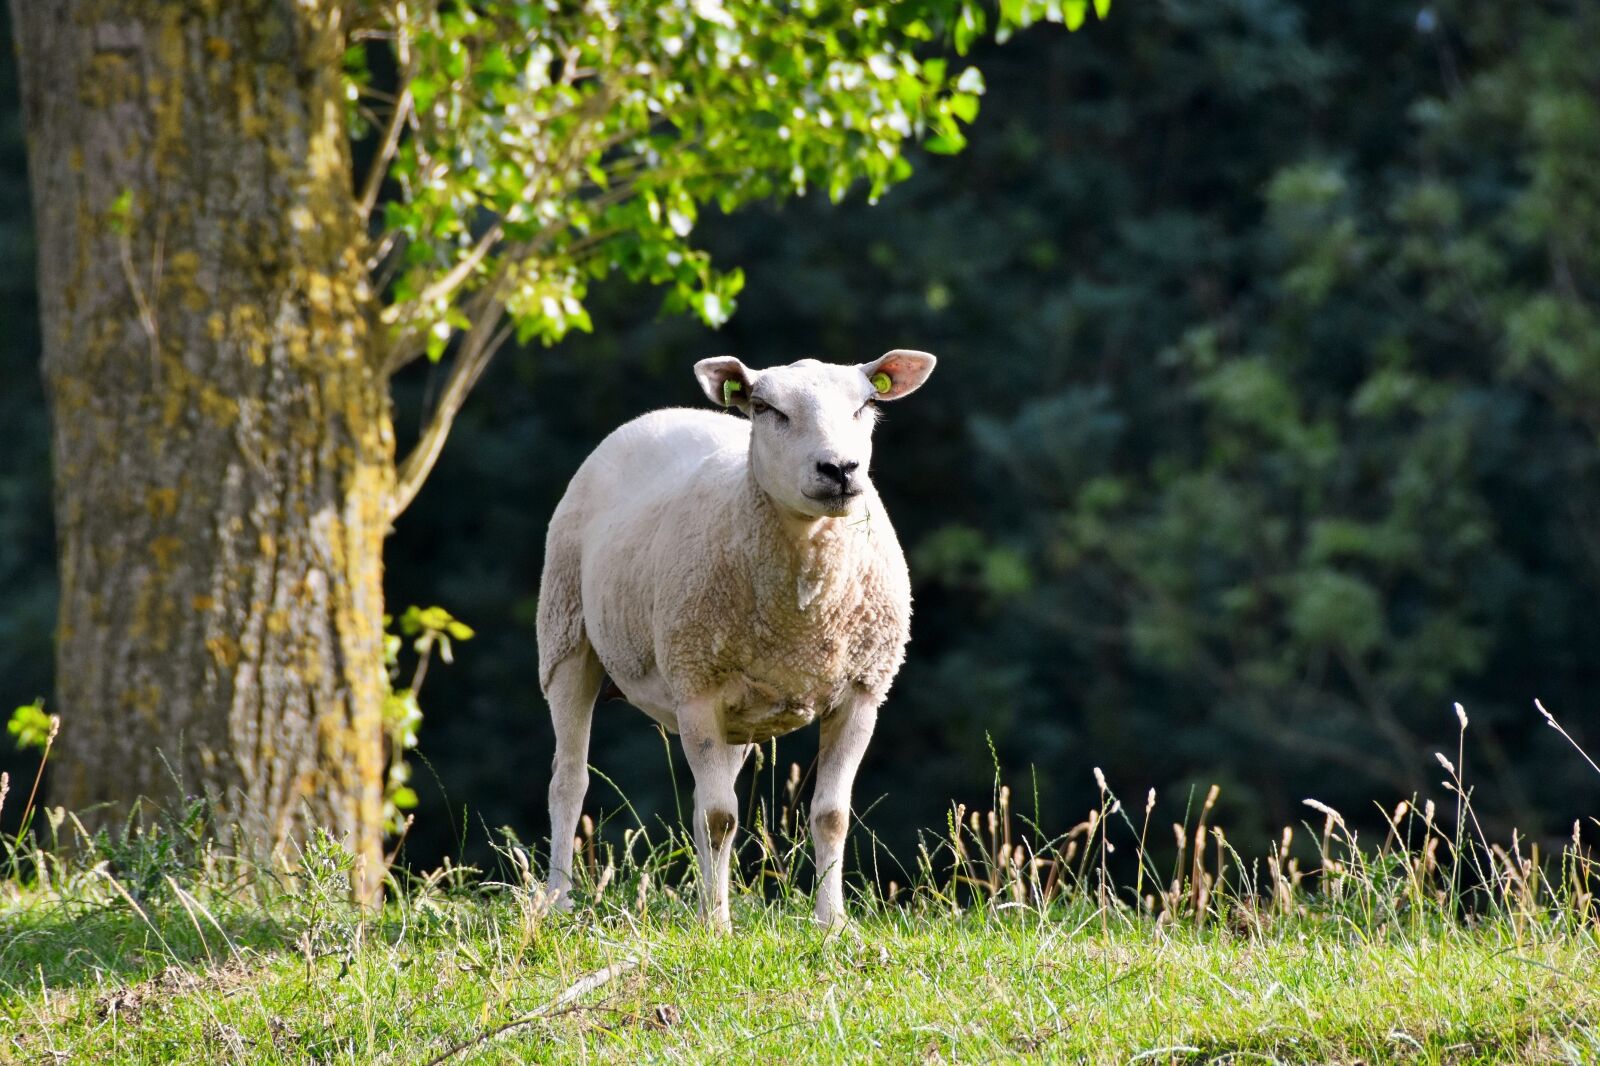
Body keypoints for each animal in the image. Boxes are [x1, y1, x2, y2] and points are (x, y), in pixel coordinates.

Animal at [537, 349, 937, 928]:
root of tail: (661, 414)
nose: (840, 469)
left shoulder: (863, 691)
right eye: (767, 408)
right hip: (567, 633)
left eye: (866, 404)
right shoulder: (696, 687)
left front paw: (831, 923)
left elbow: (830, 815)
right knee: (569, 780)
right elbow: (719, 817)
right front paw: (717, 927)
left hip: (736, 714)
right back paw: (559, 900)